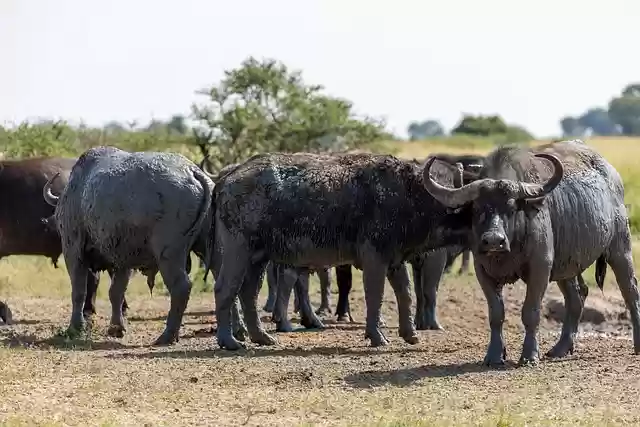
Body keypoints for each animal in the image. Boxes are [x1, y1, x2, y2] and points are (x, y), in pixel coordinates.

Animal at [424, 139, 640, 365]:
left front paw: (529, 355)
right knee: (577, 297)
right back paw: (561, 348)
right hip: (567, 265)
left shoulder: (540, 268)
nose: (494, 240)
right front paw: (494, 355)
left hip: (620, 248)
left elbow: (531, 312)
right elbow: (496, 314)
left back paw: (637, 344)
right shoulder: (483, 271)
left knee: (630, 290)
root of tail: (612, 175)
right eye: (476, 209)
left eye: (511, 208)